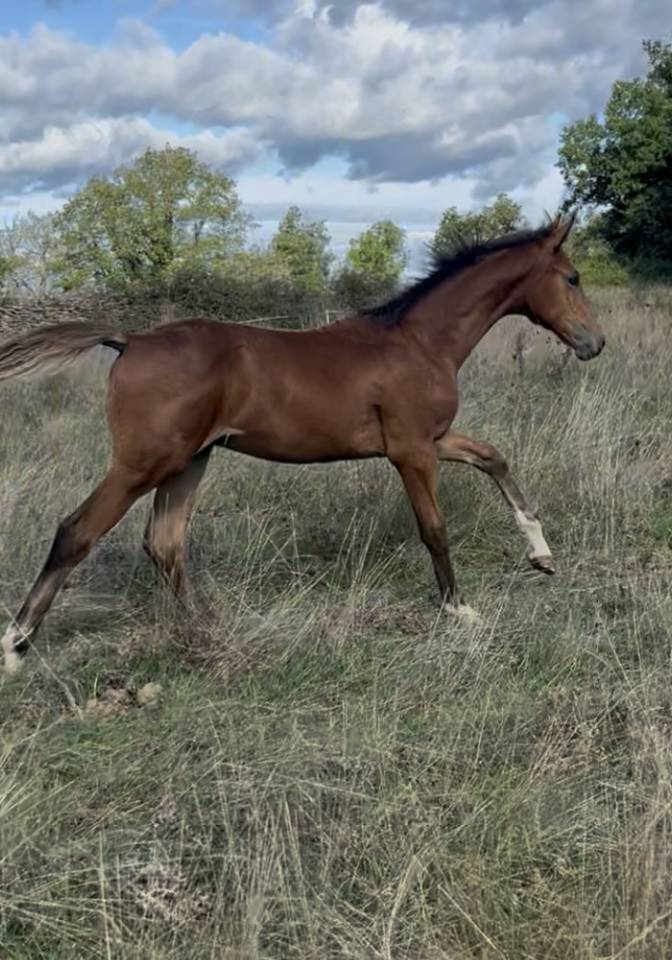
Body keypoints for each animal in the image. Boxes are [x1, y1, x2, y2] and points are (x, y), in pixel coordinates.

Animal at [0, 215, 604, 674]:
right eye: (572, 277)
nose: (594, 343)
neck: (419, 342)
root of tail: (130, 340)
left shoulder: (433, 438)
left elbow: (494, 458)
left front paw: (541, 553)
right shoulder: (411, 450)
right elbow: (434, 528)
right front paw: (459, 610)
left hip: (189, 460)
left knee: (164, 543)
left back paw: (206, 628)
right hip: (142, 463)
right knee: (77, 531)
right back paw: (15, 647)